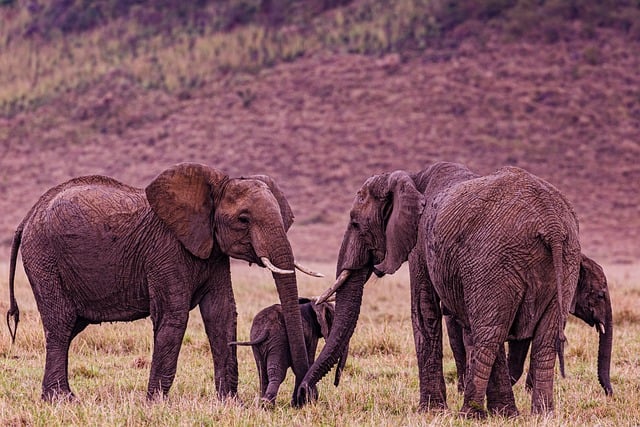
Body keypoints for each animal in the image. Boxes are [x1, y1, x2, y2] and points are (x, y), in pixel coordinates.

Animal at [6, 161, 320, 404]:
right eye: (243, 219)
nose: (304, 397)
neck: (212, 190)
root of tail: (28, 216)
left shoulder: (213, 251)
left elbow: (221, 313)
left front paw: (231, 404)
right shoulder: (166, 250)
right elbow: (173, 316)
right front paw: (156, 403)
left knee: (70, 326)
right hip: (44, 259)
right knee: (61, 323)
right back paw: (62, 400)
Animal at [298, 163, 584, 418]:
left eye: (355, 223)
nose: (303, 395)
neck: (411, 178)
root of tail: (551, 225)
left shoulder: (421, 245)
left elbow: (424, 311)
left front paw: (431, 412)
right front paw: (506, 415)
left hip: (497, 261)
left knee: (489, 333)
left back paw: (469, 414)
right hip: (566, 259)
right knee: (543, 339)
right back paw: (542, 415)